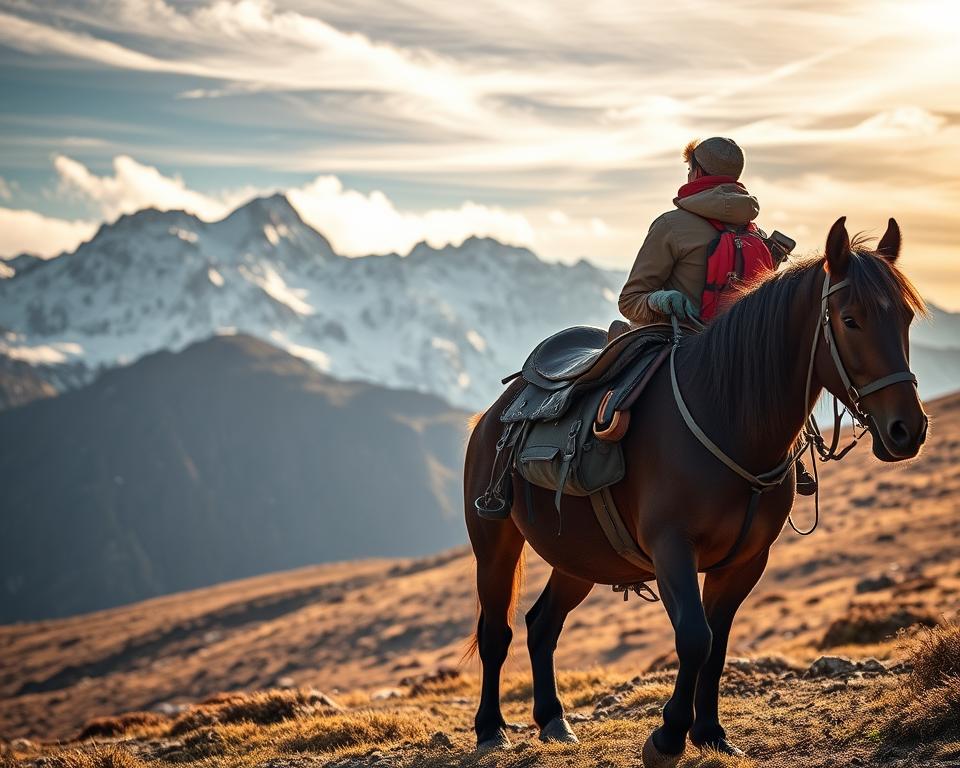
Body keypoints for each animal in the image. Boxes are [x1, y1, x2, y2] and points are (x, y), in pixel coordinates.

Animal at [463, 217, 928, 765]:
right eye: (851, 320)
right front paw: (667, 737)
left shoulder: (745, 561)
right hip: (495, 543)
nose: (907, 430)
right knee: (497, 632)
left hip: (579, 557)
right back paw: (491, 729)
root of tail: (495, 410)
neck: (729, 420)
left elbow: (718, 644)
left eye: (906, 317)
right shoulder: (672, 550)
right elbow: (694, 638)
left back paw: (554, 721)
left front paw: (710, 732)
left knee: (542, 625)